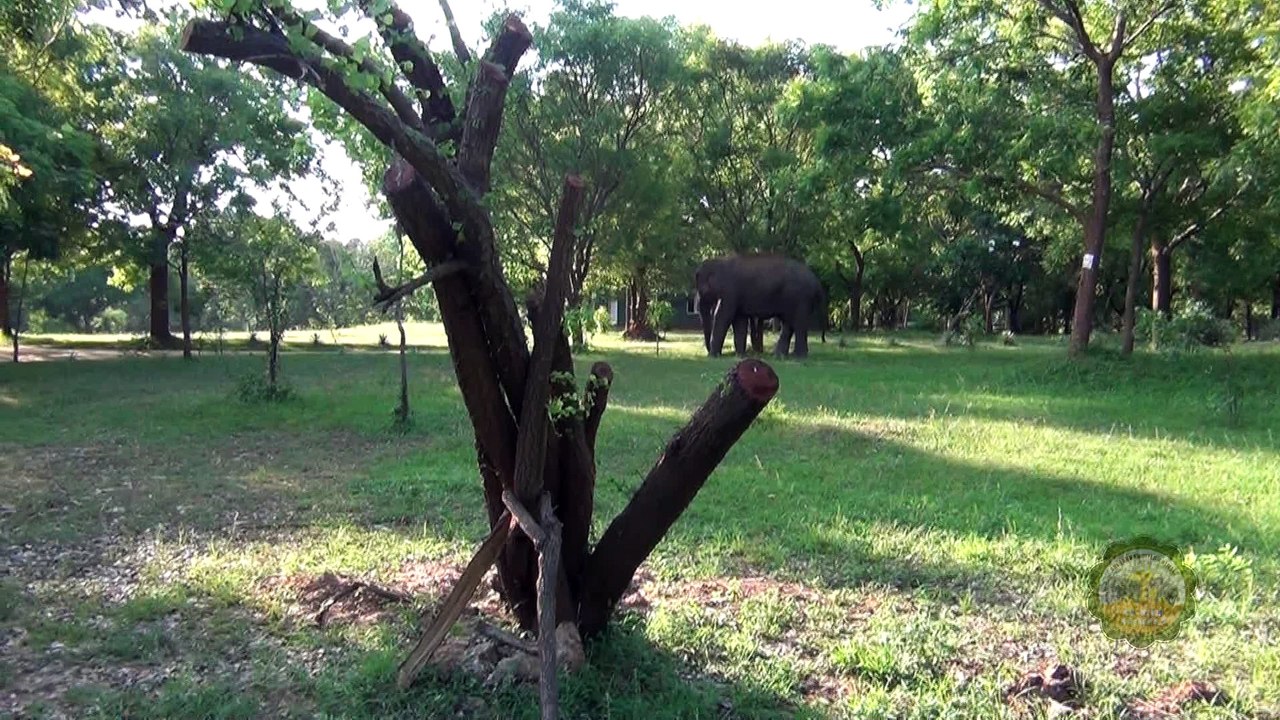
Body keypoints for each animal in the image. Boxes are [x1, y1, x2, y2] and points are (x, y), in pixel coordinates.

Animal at [695, 254, 826, 358]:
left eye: (701, 290)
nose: (707, 351)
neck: (719, 261)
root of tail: (816, 281)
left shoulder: (730, 291)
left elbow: (722, 316)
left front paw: (713, 356)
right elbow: (740, 321)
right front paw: (741, 356)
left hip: (801, 298)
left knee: (798, 324)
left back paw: (798, 357)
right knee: (789, 324)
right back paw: (780, 356)